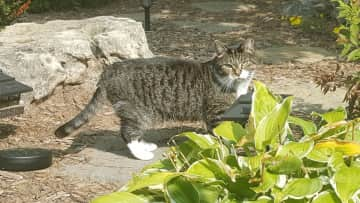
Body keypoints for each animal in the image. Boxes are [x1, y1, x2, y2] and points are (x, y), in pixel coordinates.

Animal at [54, 39, 256, 160]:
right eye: (229, 65)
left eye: (245, 63)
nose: (239, 72)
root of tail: (109, 71)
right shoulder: (216, 112)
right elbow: (221, 133)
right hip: (138, 112)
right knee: (127, 133)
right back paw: (141, 154)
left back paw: (145, 145)